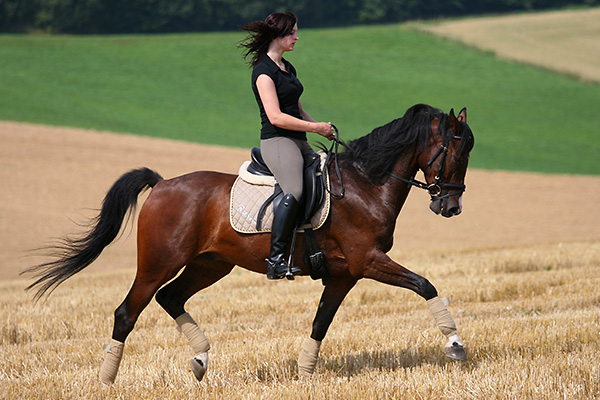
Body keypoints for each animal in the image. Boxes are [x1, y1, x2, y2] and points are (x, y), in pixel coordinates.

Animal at [22, 101, 474, 382]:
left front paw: (305, 373)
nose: (451, 206)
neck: (366, 184)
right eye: (455, 150)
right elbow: (425, 285)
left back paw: (200, 359)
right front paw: (455, 344)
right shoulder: (369, 261)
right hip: (157, 263)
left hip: (211, 264)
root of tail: (163, 183)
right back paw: (107, 379)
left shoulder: (345, 275)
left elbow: (321, 322)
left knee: (171, 298)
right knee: (127, 312)